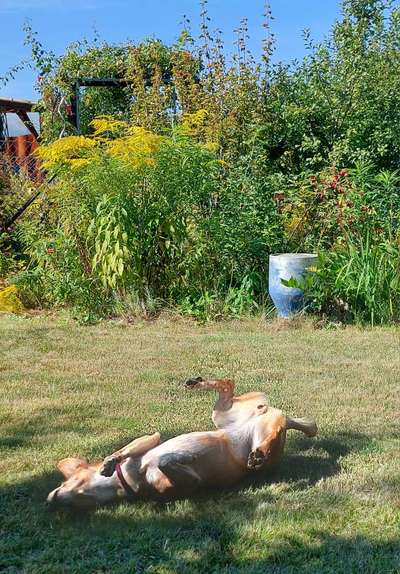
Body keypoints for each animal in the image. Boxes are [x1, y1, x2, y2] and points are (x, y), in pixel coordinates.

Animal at [47, 380, 318, 510]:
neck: (128, 479)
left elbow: (129, 450)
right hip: (222, 414)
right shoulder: (184, 484)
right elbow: (164, 463)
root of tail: (275, 413)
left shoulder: (152, 438)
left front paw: (110, 462)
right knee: (228, 388)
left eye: (67, 481)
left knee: (230, 385)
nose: (50, 500)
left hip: (242, 422)